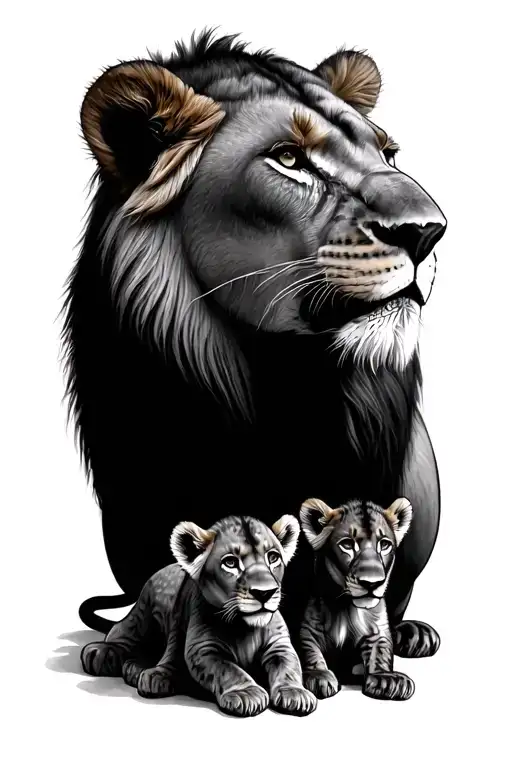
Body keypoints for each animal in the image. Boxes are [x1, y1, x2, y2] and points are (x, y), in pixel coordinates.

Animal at [81, 513, 317, 717]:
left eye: (273, 557)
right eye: (230, 562)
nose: (265, 593)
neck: (244, 628)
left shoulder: (279, 646)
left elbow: (289, 666)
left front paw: (295, 692)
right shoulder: (204, 649)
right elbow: (228, 669)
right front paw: (246, 693)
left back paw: (137, 669)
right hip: (146, 613)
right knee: (124, 631)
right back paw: (106, 655)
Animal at [298, 497, 439, 701]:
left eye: (384, 544)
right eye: (347, 544)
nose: (372, 583)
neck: (347, 608)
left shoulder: (378, 630)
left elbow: (381, 649)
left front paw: (386, 678)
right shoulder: (309, 627)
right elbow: (308, 648)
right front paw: (319, 675)